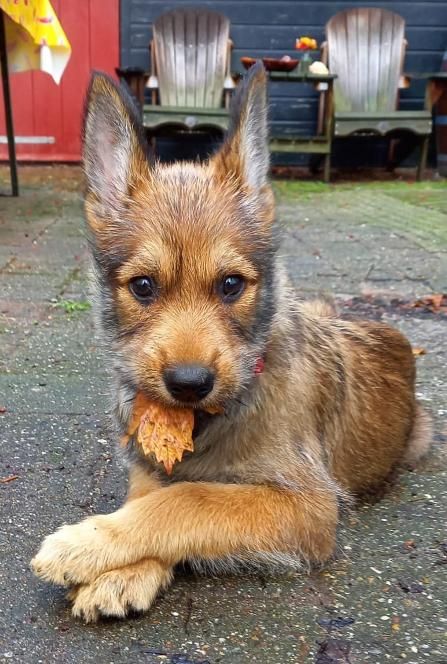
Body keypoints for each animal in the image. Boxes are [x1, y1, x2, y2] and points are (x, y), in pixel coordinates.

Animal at [30, 63, 430, 624]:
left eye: (231, 285)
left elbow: (188, 500)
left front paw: (84, 544)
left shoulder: (308, 505)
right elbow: (150, 500)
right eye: (143, 286)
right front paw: (121, 568)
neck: (208, 421)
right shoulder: (150, 464)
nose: (189, 383)